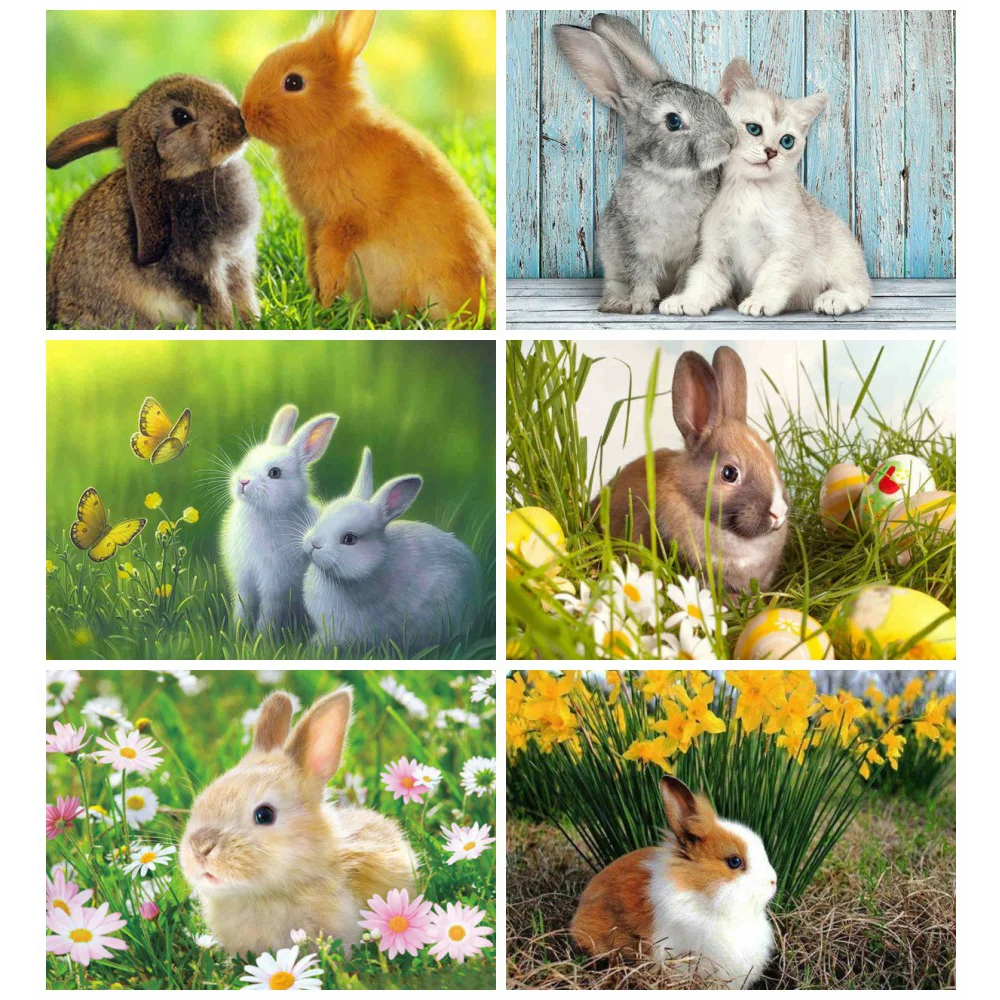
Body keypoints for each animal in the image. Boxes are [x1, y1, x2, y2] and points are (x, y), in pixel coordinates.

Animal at [46, 75, 261, 330]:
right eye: (181, 116)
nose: (241, 124)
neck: (180, 174)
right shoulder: (197, 267)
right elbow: (215, 299)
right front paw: (230, 325)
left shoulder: (237, 260)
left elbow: (242, 293)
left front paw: (252, 320)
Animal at [221, 405, 338, 634]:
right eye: (247, 460)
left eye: (274, 473)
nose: (243, 481)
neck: (260, 513)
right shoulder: (245, 581)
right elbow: (243, 607)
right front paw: (236, 633)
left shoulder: (276, 586)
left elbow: (269, 614)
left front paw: (259, 638)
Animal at [240, 10, 495, 321]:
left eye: (293, 82)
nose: (245, 114)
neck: (333, 130)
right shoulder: (313, 222)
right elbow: (313, 257)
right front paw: (319, 299)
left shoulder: (346, 220)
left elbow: (330, 256)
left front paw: (327, 296)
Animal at [553, 15, 738, 314]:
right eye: (673, 121)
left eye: (711, 101)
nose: (730, 139)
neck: (670, 179)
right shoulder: (634, 244)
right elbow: (640, 276)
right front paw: (640, 305)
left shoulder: (693, 249)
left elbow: (685, 277)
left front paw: (676, 301)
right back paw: (613, 303)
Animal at [659, 58, 871, 318]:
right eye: (754, 129)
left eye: (787, 141)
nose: (771, 152)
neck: (748, 192)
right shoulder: (716, 252)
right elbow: (703, 280)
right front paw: (687, 300)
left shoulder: (788, 247)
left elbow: (773, 277)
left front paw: (760, 300)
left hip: (843, 253)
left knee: (861, 290)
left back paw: (835, 299)